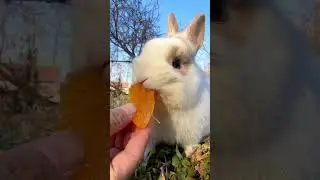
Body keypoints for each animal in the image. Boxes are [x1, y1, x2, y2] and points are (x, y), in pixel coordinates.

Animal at [131, 12, 209, 157]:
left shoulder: (193, 134)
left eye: (176, 63)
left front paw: (190, 154)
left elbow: (190, 144)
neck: (166, 109)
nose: (141, 77)